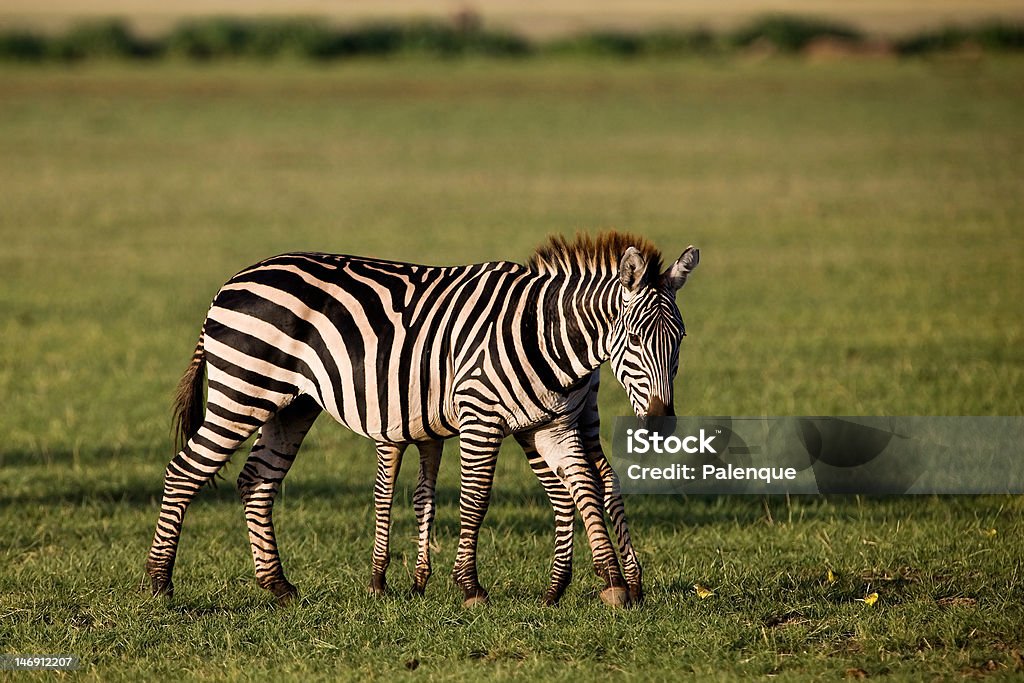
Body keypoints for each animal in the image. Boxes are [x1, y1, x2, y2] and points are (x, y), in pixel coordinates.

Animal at [144, 233, 700, 610]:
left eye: (680, 339)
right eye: (634, 337)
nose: (661, 425)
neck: (543, 336)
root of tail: (232, 281)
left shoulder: (551, 423)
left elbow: (583, 486)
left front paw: (613, 584)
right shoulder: (481, 415)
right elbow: (476, 500)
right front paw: (470, 587)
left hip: (291, 403)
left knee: (257, 479)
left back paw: (279, 587)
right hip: (243, 390)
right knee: (184, 472)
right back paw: (159, 584)